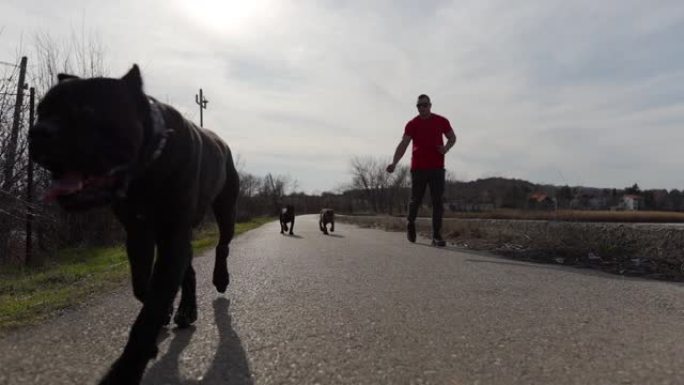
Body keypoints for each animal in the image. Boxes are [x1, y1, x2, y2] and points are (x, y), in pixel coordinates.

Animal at [28, 64, 240, 382]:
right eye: (40, 112)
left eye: (86, 112)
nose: (38, 131)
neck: (147, 166)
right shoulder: (139, 234)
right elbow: (144, 287)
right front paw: (163, 314)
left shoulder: (171, 234)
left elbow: (151, 307)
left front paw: (126, 369)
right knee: (188, 270)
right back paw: (186, 311)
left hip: (224, 210)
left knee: (222, 246)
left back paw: (219, 279)